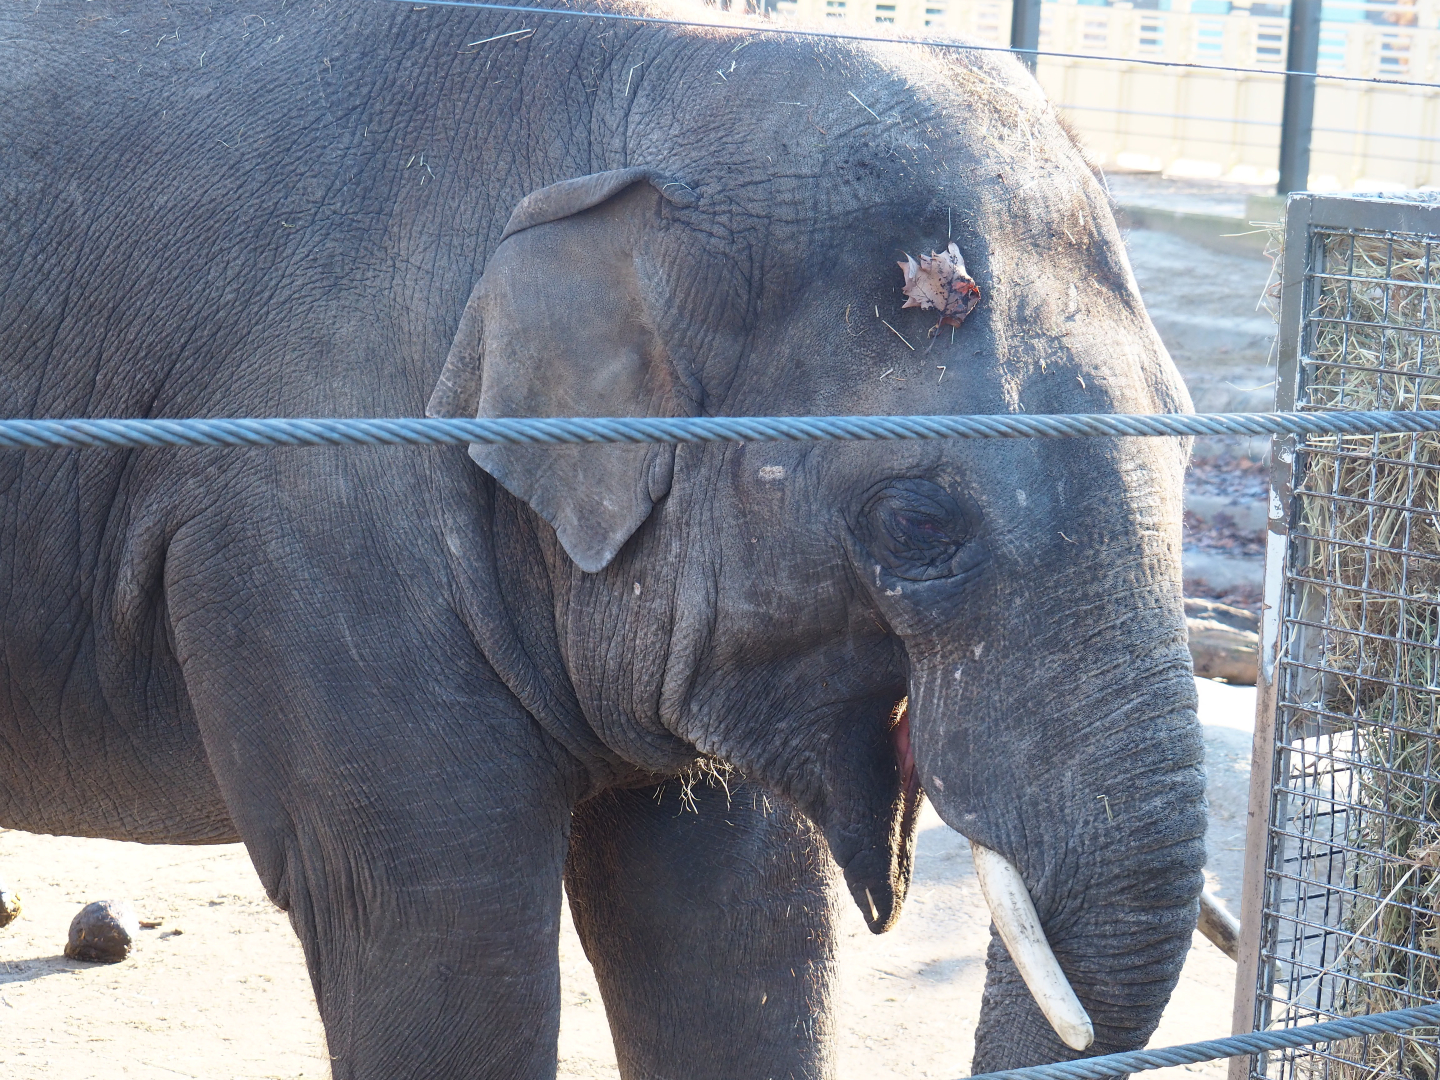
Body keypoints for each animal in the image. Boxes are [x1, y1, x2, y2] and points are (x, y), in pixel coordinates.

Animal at [0, 1, 1207, 1077]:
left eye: (1193, 444)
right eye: (918, 523)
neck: (653, 71)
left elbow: (739, 919)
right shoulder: (315, 521)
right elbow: (438, 931)